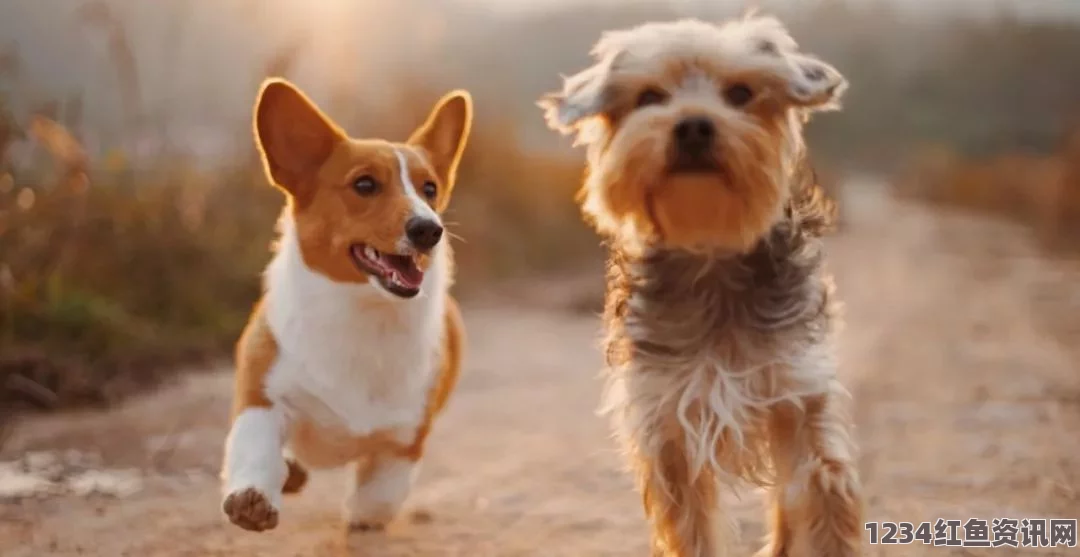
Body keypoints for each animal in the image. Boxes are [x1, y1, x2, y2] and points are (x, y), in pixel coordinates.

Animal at [220, 77, 473, 531]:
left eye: (430, 189)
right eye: (365, 185)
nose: (430, 229)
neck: (362, 312)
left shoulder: (405, 439)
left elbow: (379, 498)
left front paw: (361, 514)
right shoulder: (263, 396)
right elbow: (256, 447)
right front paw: (253, 498)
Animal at [540, 13, 868, 557]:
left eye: (740, 93)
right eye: (650, 96)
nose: (693, 124)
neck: (710, 251)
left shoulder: (798, 393)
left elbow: (820, 495)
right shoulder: (668, 420)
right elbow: (691, 525)